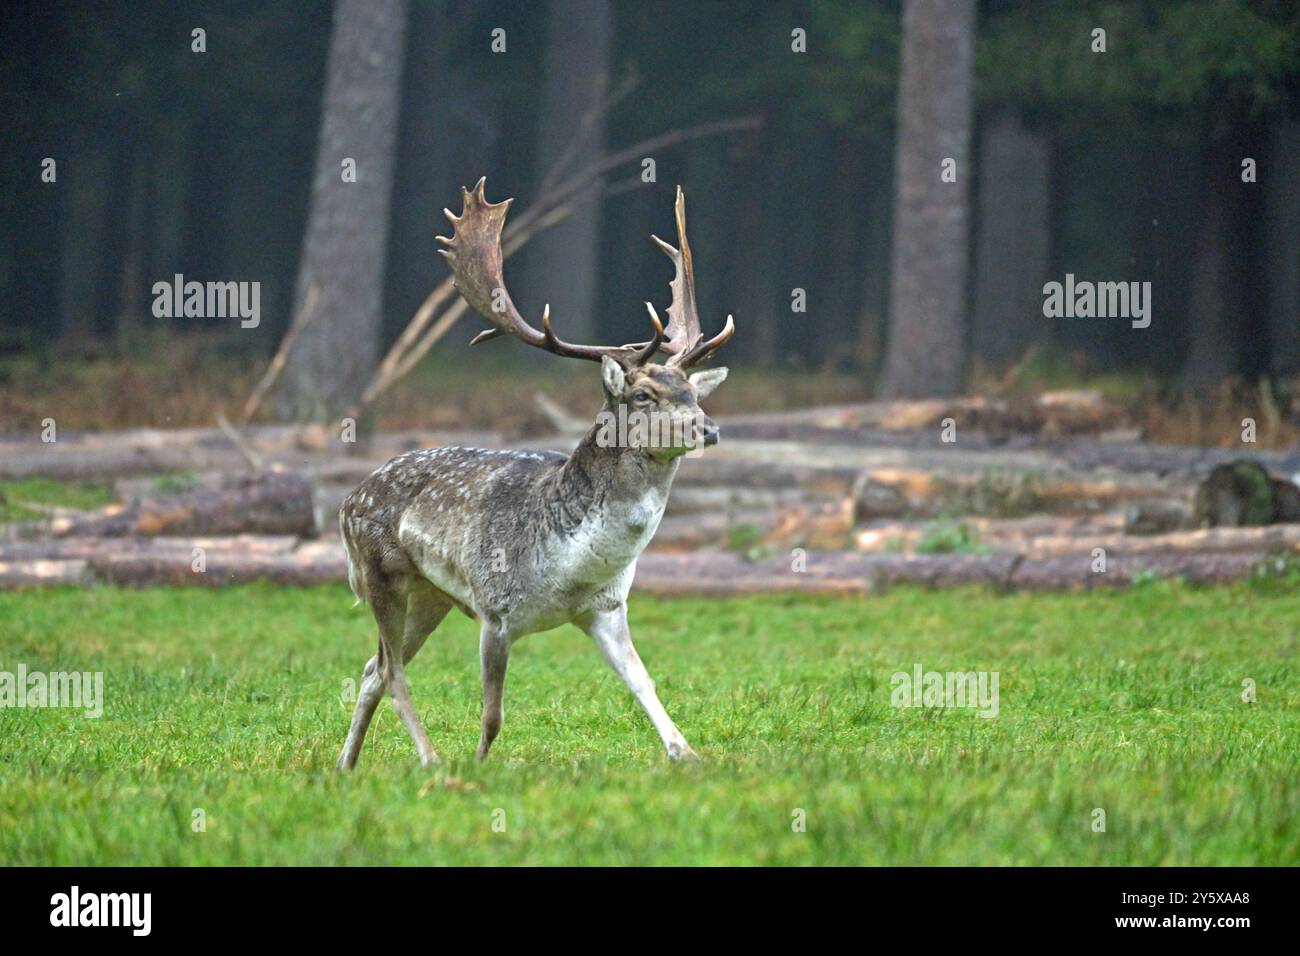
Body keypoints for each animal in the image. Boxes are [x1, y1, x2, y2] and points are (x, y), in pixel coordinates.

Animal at [336, 178, 735, 770]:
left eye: (691, 391)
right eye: (642, 395)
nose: (708, 428)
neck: (569, 570)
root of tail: (346, 501)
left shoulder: (607, 608)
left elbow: (644, 682)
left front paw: (686, 753)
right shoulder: (494, 610)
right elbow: (492, 714)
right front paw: (478, 767)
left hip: (431, 594)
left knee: (370, 669)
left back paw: (346, 764)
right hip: (378, 573)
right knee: (391, 670)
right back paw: (430, 759)